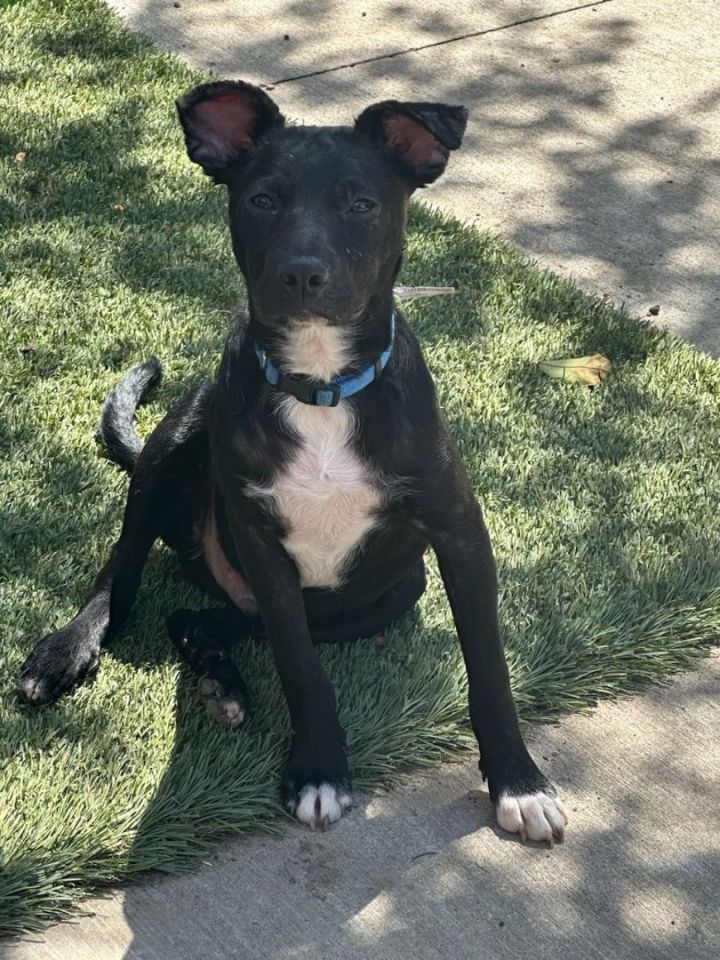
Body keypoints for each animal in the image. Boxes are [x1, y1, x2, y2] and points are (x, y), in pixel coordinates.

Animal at [18, 84, 568, 848]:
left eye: (362, 204)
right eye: (262, 199)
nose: (302, 274)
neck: (321, 383)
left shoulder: (459, 532)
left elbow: (488, 666)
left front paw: (519, 781)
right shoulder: (262, 544)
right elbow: (301, 666)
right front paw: (318, 771)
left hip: (392, 592)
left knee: (199, 616)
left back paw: (217, 674)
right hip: (179, 440)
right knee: (123, 575)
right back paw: (71, 649)